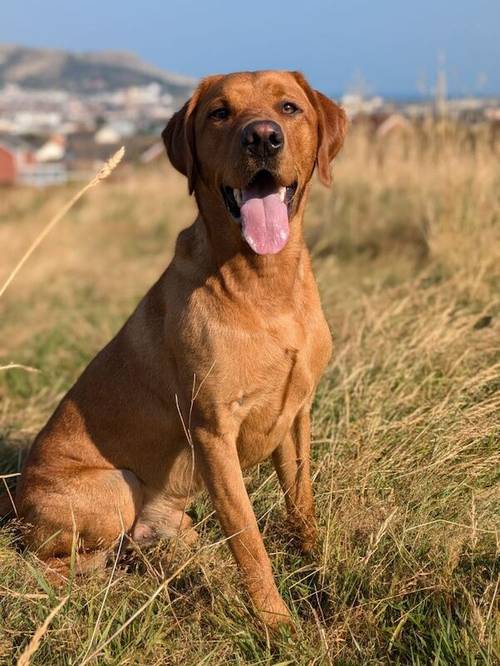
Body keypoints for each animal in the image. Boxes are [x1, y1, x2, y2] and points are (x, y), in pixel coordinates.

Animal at [7, 70, 346, 624]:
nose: (262, 138)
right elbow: (249, 539)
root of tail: (13, 501)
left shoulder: (296, 416)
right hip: (114, 487)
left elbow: (304, 508)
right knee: (45, 560)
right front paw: (275, 622)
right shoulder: (214, 432)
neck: (264, 284)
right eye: (220, 113)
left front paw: (321, 573)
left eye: (290, 107)